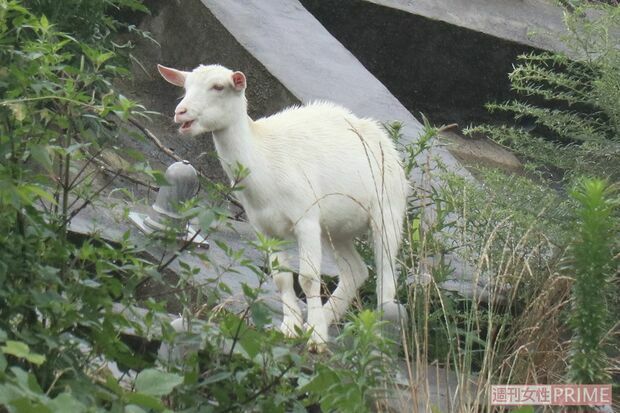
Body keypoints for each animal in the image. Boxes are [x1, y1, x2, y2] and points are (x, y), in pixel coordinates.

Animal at [160, 62, 410, 350]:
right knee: (355, 271)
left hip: (388, 210)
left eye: (218, 87)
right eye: (185, 86)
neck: (262, 160)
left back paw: (374, 335)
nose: (180, 112)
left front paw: (315, 338)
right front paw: (291, 328)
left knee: (386, 275)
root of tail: (385, 141)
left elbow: (309, 279)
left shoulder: (307, 217)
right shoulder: (265, 228)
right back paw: (326, 317)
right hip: (336, 230)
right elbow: (281, 278)